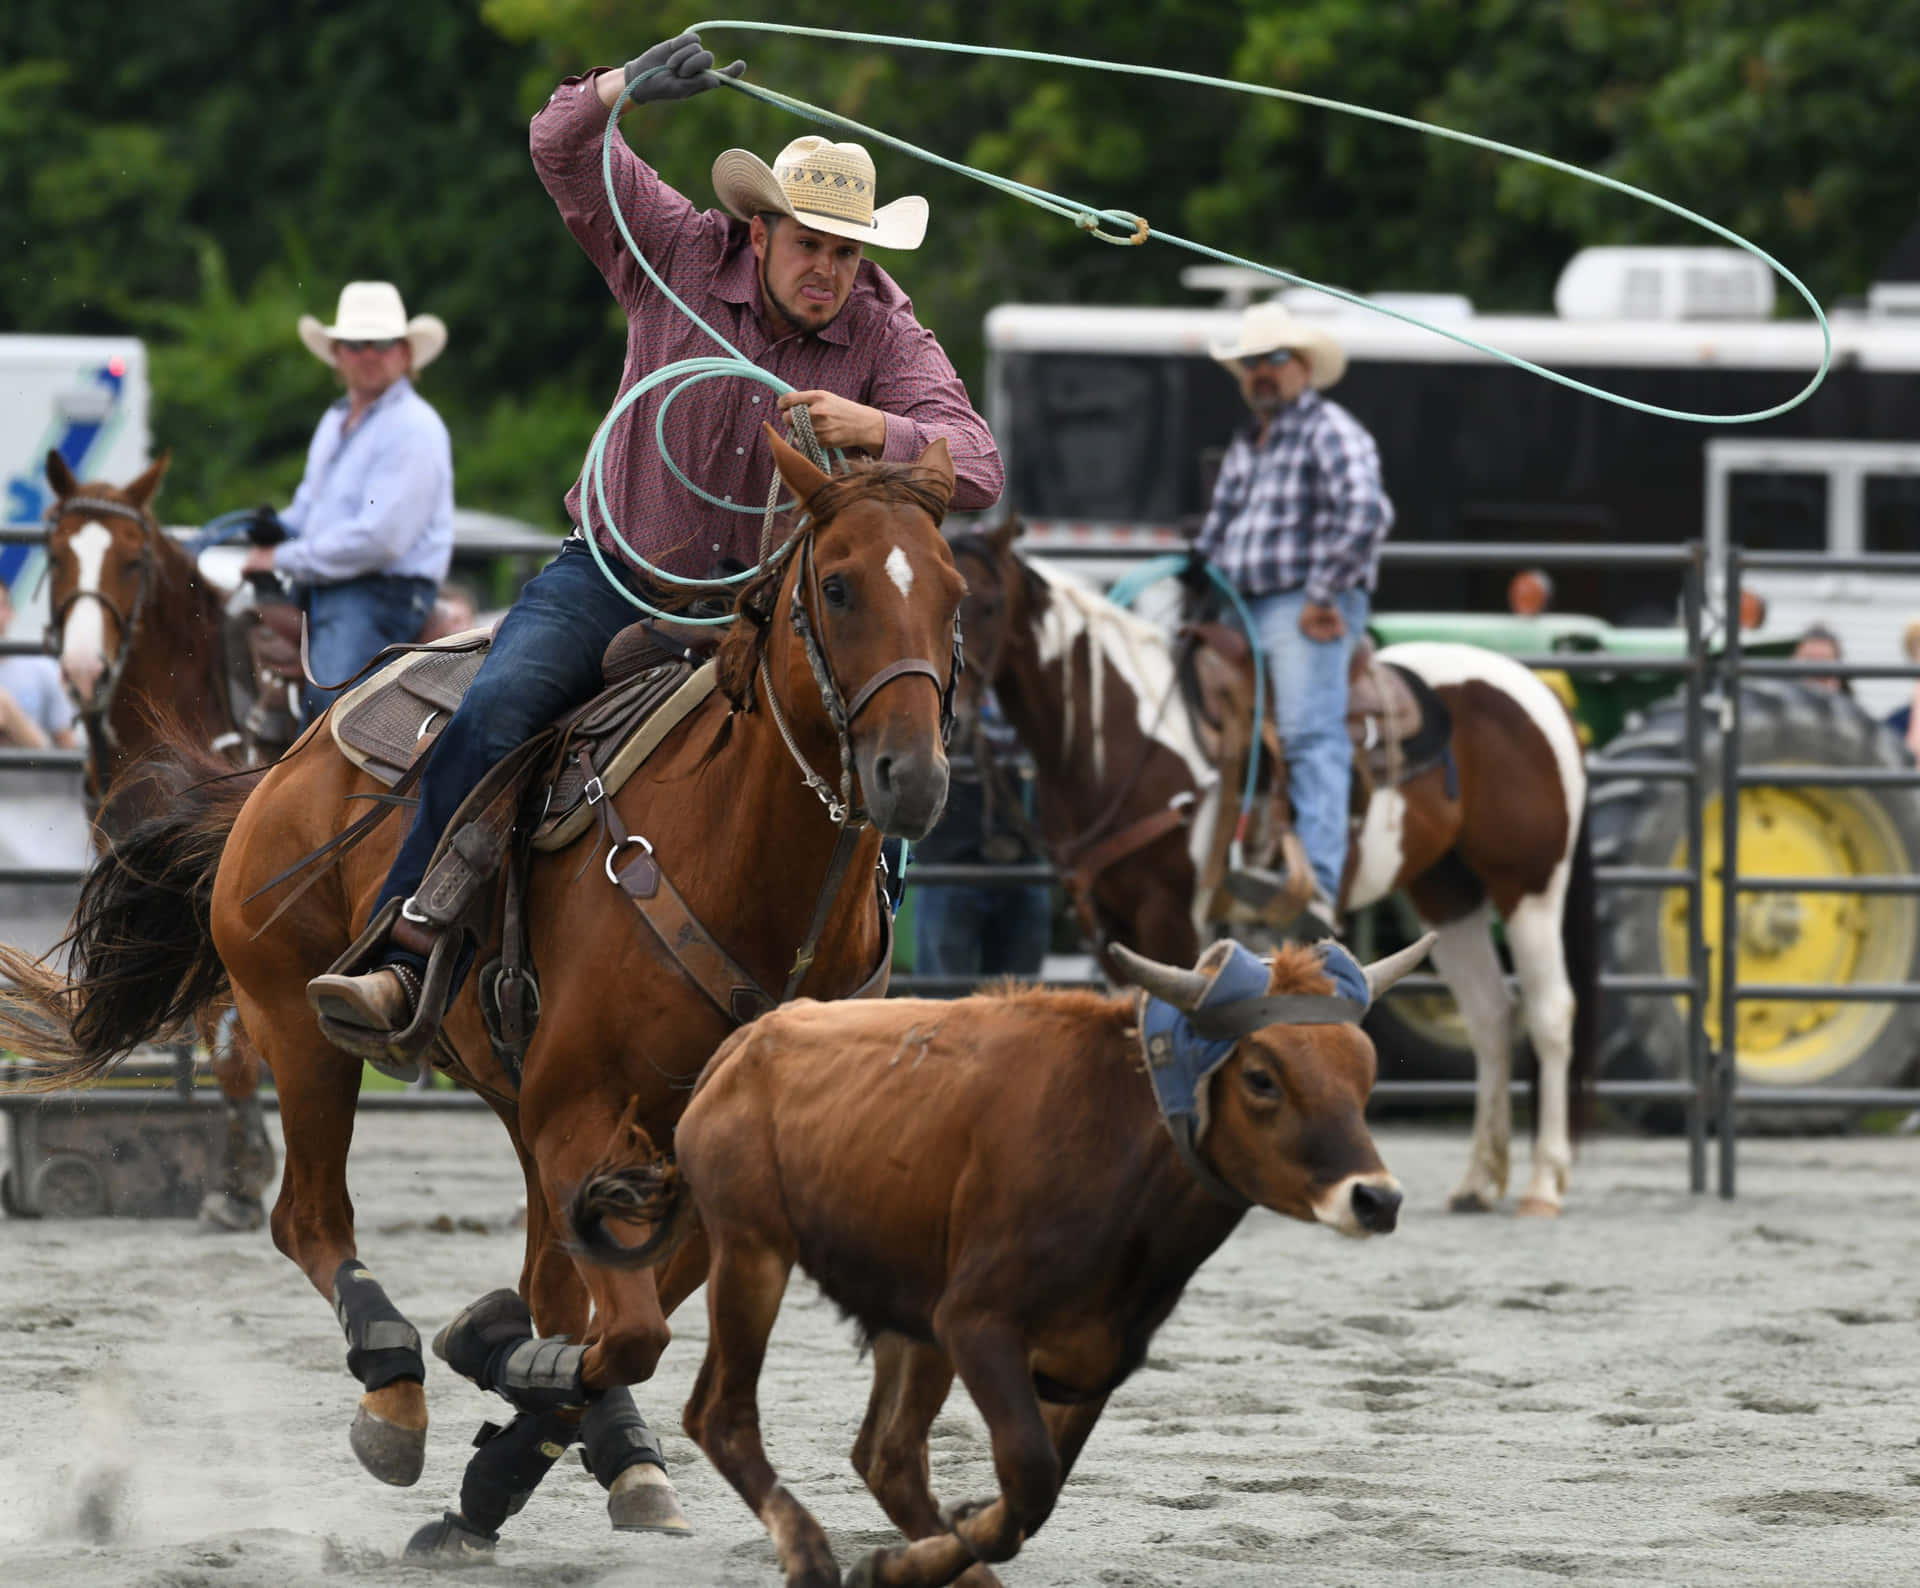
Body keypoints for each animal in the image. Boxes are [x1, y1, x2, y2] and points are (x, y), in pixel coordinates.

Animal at [952, 522, 1597, 1213]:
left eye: (985, 605)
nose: (951, 721)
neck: (1123, 733)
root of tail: (1538, 691)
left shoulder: (1170, 912)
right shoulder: (1108, 920)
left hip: (1530, 886)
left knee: (1550, 1014)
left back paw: (1543, 1183)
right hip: (1446, 894)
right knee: (1490, 1016)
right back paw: (1478, 1180)